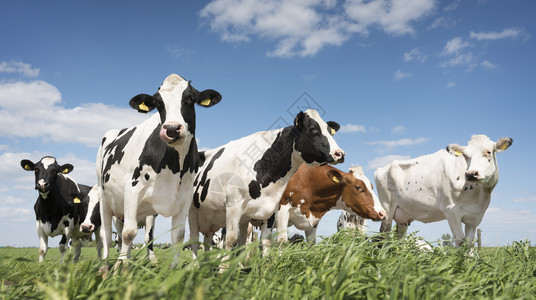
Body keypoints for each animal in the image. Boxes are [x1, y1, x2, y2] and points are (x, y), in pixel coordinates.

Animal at [187, 108, 344, 260]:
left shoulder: (270, 210)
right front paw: (223, 268)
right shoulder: (233, 205)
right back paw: (195, 265)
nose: (340, 153)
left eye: (330, 131)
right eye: (313, 130)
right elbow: (231, 240)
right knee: (194, 240)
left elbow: (264, 241)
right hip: (192, 212)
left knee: (211, 241)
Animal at [374, 134, 512, 251]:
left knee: (399, 240)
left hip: (403, 216)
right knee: (383, 236)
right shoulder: (451, 210)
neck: (479, 194)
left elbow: (470, 244)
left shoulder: (474, 217)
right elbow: (460, 242)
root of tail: (382, 168)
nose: (471, 173)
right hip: (387, 208)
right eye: (465, 155)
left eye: (488, 152)